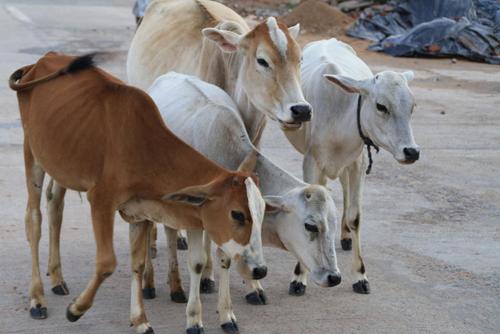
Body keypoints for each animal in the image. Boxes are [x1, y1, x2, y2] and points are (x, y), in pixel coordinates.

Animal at [8, 52, 266, 334]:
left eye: (262, 213)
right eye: (237, 214)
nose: (260, 270)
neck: (143, 147)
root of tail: (43, 60)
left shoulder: (140, 211)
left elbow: (138, 264)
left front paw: (140, 320)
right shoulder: (101, 202)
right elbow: (107, 263)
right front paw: (76, 309)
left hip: (61, 167)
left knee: (55, 206)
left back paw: (57, 278)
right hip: (32, 154)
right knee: (34, 221)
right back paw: (37, 299)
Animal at [145, 72, 340, 330]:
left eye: (334, 225)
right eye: (310, 226)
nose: (334, 277)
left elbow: (226, 258)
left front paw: (232, 308)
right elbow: (196, 262)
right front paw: (194, 319)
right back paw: (155, 285)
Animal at [284, 37, 420, 294]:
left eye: (412, 107)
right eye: (381, 106)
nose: (412, 152)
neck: (338, 118)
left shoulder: (358, 162)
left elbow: (355, 216)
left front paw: (360, 275)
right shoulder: (311, 163)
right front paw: (299, 276)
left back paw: (345, 236)